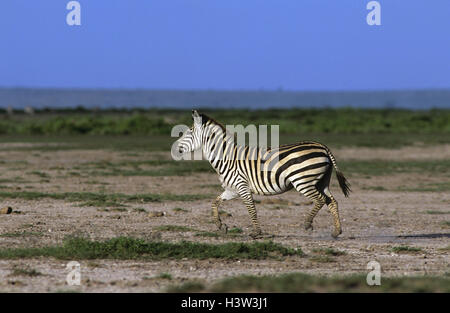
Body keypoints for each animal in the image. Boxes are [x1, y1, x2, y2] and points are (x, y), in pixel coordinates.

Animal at [174, 109, 350, 236]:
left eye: (189, 132)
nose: (175, 148)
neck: (226, 157)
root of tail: (323, 147)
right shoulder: (232, 189)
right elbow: (215, 202)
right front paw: (221, 225)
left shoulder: (242, 186)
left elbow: (251, 209)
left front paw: (256, 233)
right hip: (321, 181)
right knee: (332, 201)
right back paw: (337, 231)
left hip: (303, 181)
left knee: (321, 200)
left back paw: (307, 224)